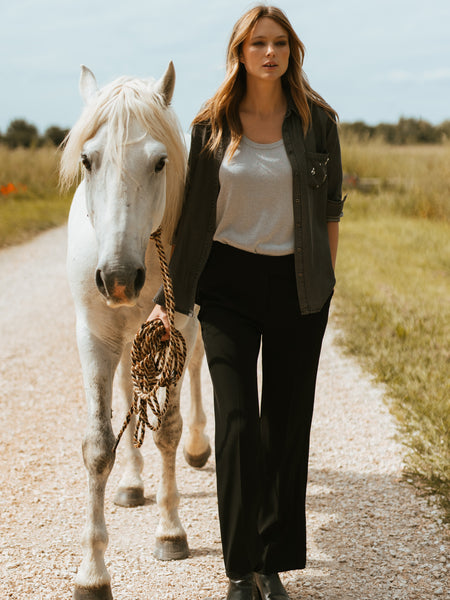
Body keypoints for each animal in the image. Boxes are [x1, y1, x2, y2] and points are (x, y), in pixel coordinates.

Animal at [59, 63, 211, 600]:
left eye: (160, 162)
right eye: (87, 159)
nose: (120, 278)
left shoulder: (178, 327)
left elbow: (166, 430)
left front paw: (170, 532)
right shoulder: (94, 338)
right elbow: (98, 445)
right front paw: (91, 573)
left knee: (193, 377)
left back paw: (198, 448)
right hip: (126, 342)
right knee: (131, 391)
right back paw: (130, 483)